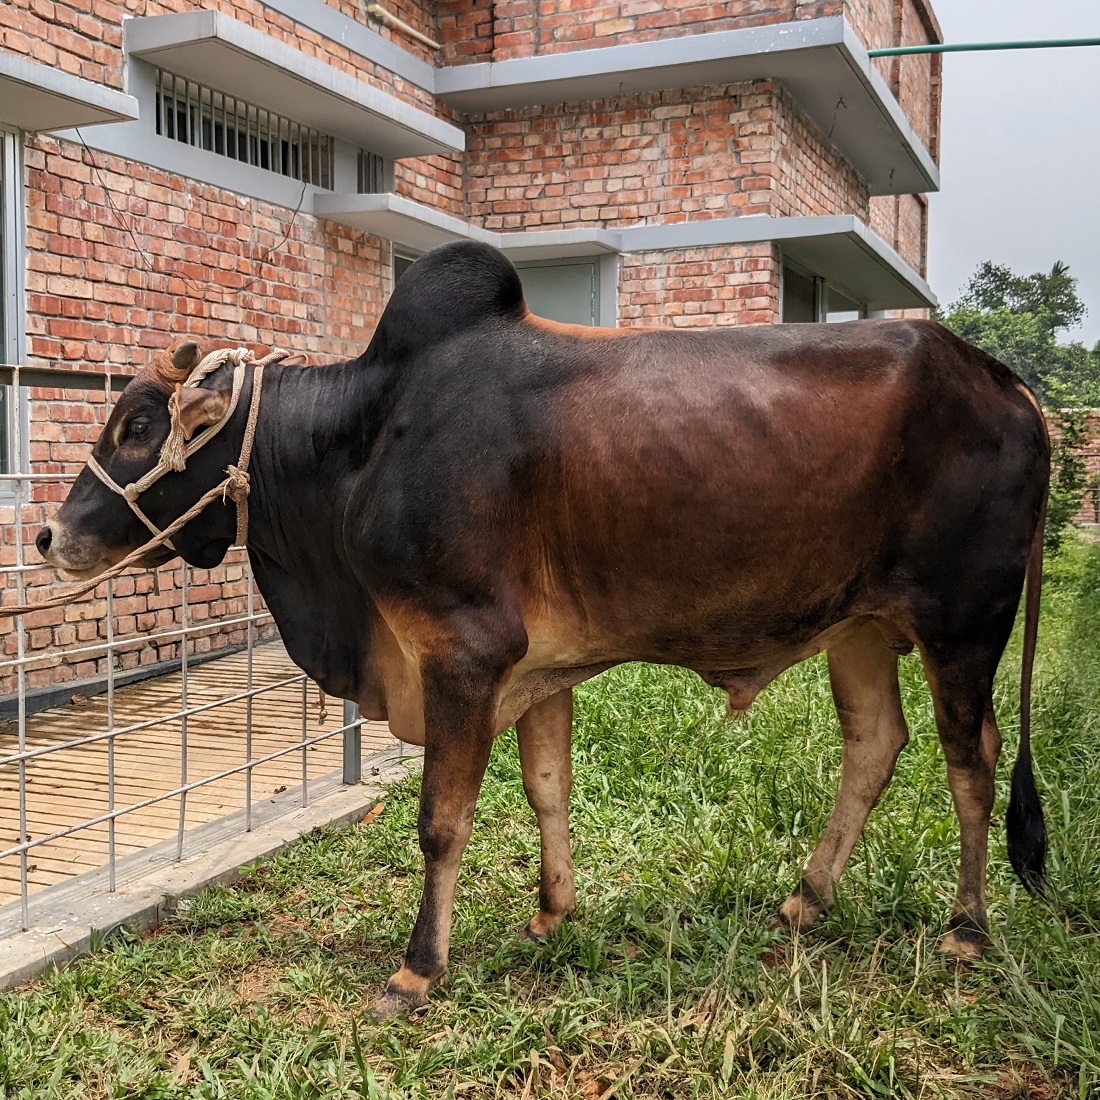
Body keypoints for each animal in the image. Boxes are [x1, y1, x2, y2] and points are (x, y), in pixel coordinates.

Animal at [36, 243, 1047, 1020]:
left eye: (138, 425)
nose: (49, 537)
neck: (363, 441)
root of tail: (1007, 384)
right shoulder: (539, 670)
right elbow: (546, 789)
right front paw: (553, 911)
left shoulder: (461, 653)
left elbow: (442, 821)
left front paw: (417, 971)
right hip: (861, 628)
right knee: (875, 744)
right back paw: (805, 899)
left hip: (964, 624)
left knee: (972, 761)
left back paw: (966, 930)